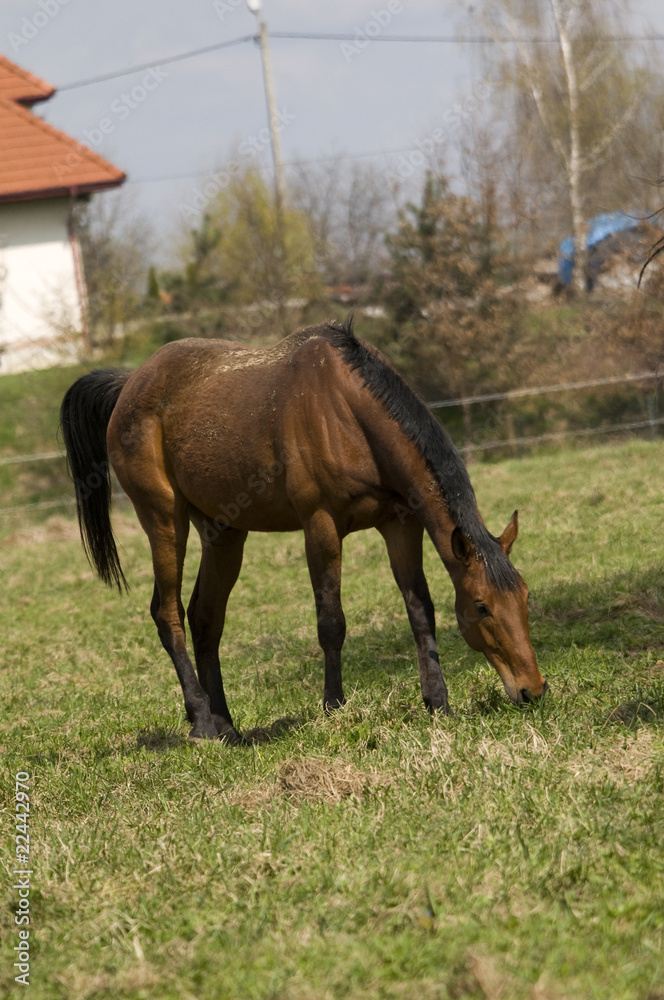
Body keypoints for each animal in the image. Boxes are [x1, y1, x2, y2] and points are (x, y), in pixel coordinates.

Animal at [59, 316, 548, 748]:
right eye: (482, 606)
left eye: (524, 597)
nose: (533, 689)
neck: (347, 410)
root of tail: (130, 384)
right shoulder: (320, 525)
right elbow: (331, 621)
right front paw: (334, 705)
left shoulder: (400, 524)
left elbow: (420, 610)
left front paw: (437, 702)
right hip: (164, 521)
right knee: (168, 614)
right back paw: (201, 721)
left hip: (225, 532)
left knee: (205, 618)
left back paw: (227, 726)